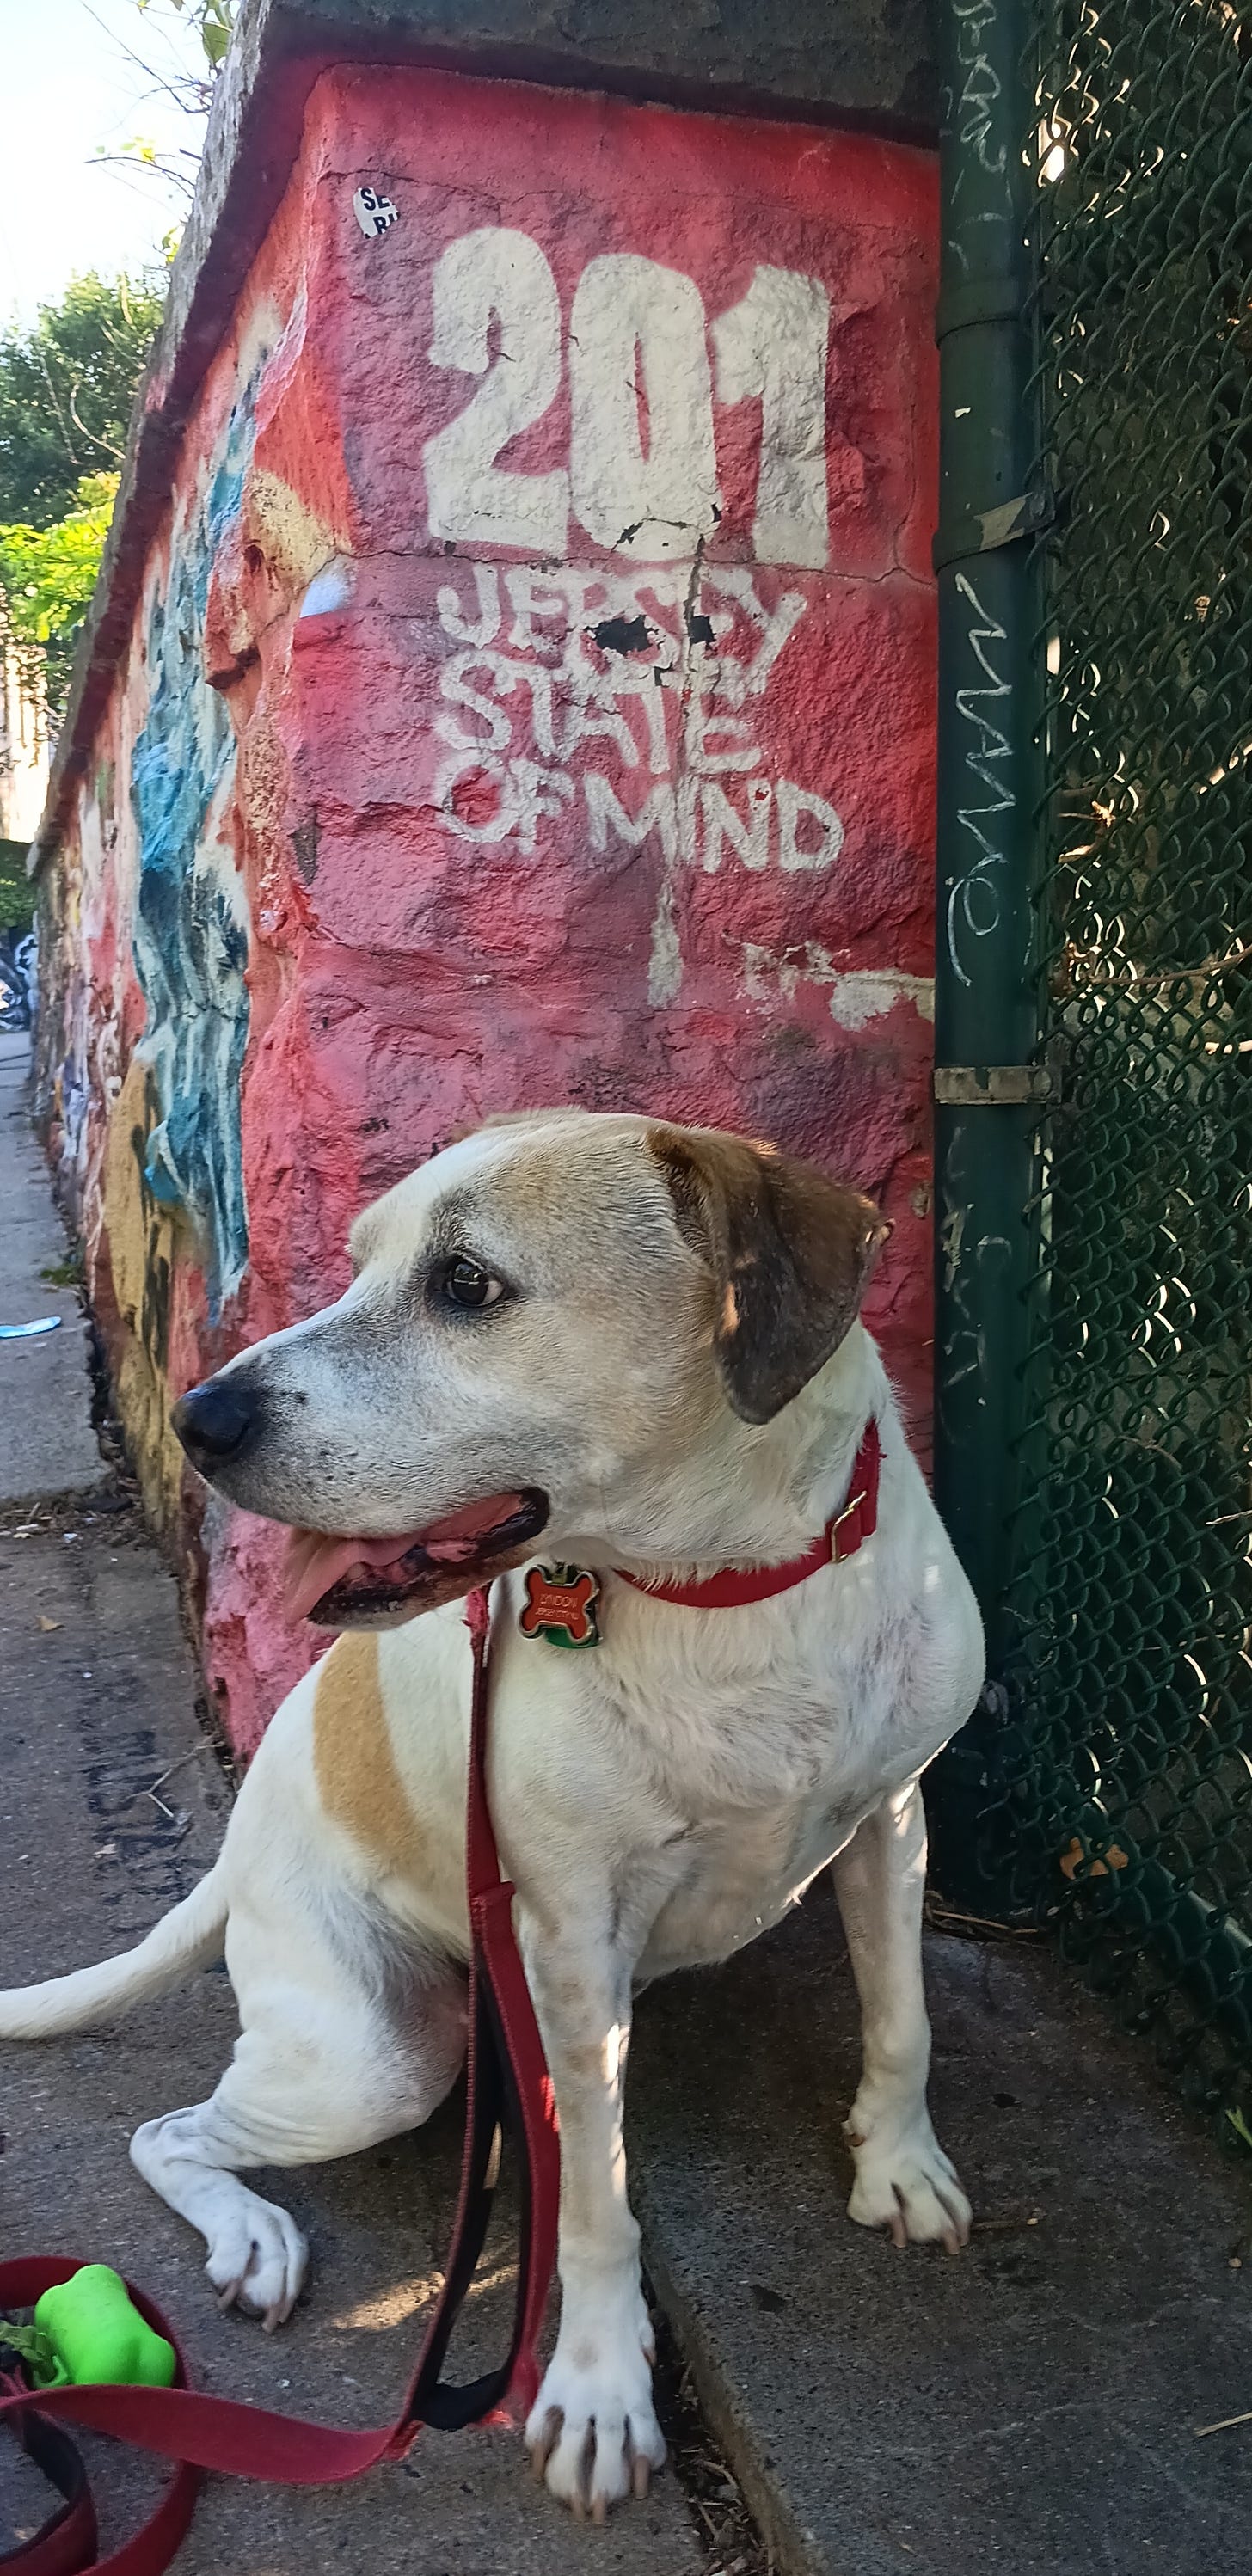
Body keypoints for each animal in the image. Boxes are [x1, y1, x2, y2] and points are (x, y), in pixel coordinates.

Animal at [0, 1107, 984, 2514]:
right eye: (357, 1260)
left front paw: (897, 2164)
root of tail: (239, 1851)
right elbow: (600, 2205)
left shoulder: (891, 1817)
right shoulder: (570, 1937)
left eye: (465, 1284)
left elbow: (901, 2019)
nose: (197, 1417)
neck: (720, 1591)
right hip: (378, 2059)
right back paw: (253, 2234)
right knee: (169, 2132)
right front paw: (599, 2384)